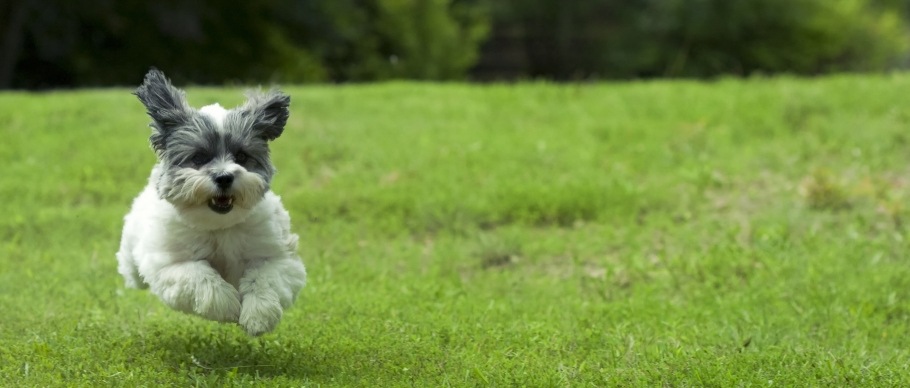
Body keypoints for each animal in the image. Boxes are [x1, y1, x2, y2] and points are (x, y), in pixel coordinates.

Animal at [116, 69, 306, 336]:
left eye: (241, 156)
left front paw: (258, 316)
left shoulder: (279, 258)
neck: (219, 225)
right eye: (198, 158)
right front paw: (227, 307)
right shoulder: (169, 265)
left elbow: (264, 277)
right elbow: (199, 274)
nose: (224, 176)